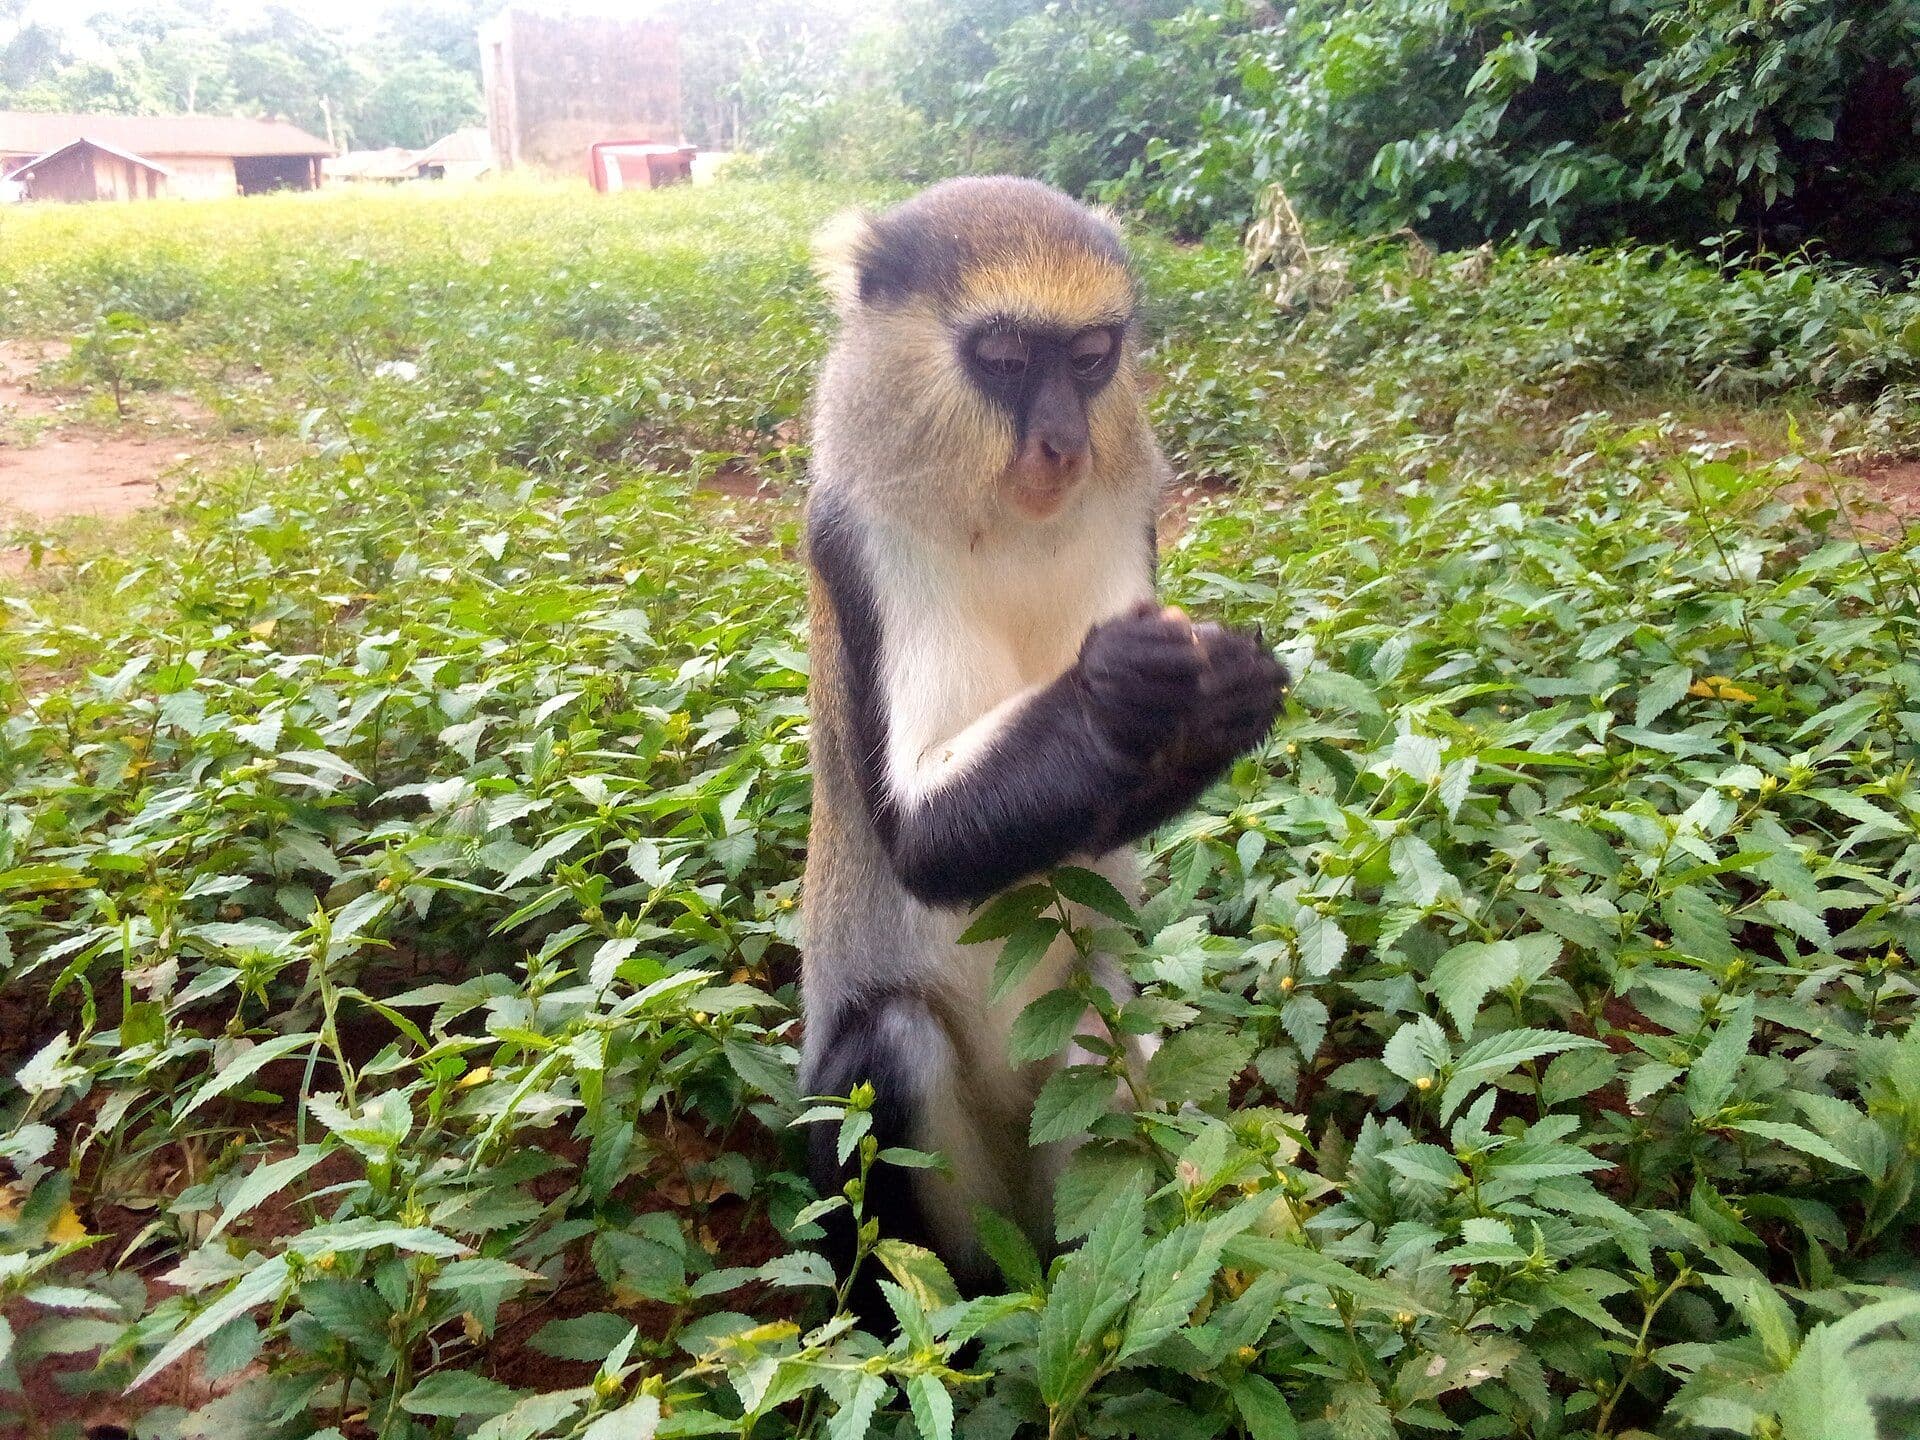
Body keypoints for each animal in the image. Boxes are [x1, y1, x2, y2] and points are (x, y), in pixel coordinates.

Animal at [798, 177, 1288, 1307]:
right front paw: (1117, 690)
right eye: (1011, 360)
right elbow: (922, 846)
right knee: (889, 1049)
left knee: (1099, 1039)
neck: (1003, 523)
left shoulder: (1123, 515)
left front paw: (1221, 697)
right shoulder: (863, 543)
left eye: (1093, 356)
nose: (1062, 444)